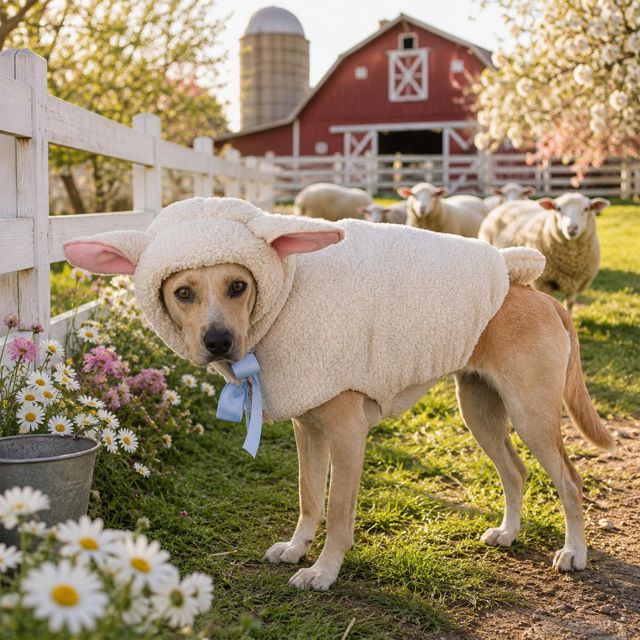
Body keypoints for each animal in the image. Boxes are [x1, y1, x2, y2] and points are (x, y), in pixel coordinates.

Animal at [478, 192, 610, 314]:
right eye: (558, 208)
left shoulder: (576, 283)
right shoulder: (544, 282)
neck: (571, 259)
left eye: (586, 209)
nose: (572, 228)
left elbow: (570, 304)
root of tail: (511, 202)